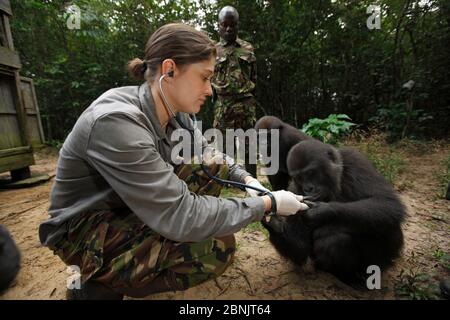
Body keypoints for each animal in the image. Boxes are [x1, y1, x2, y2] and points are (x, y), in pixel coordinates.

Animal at [262, 139, 406, 284]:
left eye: (311, 173)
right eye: (299, 178)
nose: (308, 189)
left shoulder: (355, 160)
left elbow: (387, 202)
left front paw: (322, 211)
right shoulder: (293, 190)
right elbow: (301, 248)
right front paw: (274, 224)